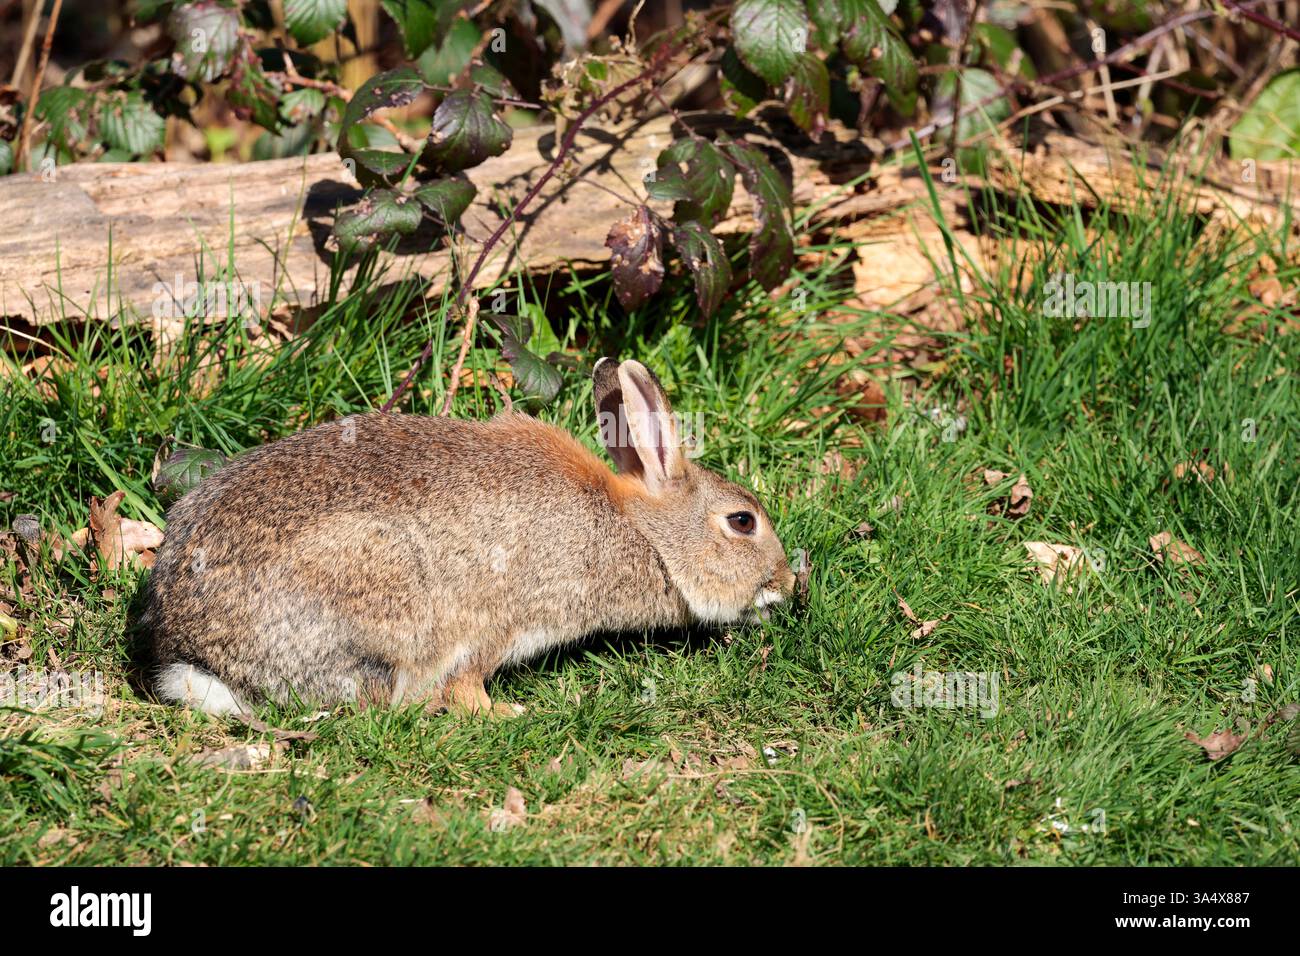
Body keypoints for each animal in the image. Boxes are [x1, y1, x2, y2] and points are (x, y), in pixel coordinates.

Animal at [142, 358, 796, 717]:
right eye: (743, 521)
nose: (790, 582)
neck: (644, 533)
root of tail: (192, 654)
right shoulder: (494, 623)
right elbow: (468, 681)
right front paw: (507, 712)